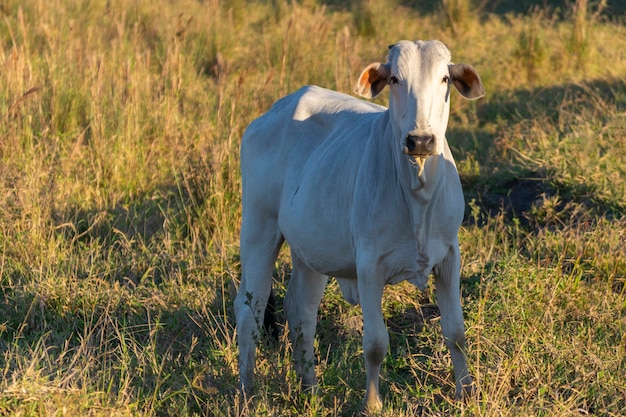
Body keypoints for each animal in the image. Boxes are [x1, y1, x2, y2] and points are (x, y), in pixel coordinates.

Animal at [234, 40, 482, 412]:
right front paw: (372, 403)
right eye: (394, 79)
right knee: (251, 308)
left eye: (444, 79)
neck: (417, 192)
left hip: (310, 251)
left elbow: (456, 333)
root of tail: (273, 112)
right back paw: (247, 391)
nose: (421, 140)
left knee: (301, 311)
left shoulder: (450, 257)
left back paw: (310, 389)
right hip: (257, 227)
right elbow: (376, 343)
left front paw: (465, 394)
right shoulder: (369, 266)